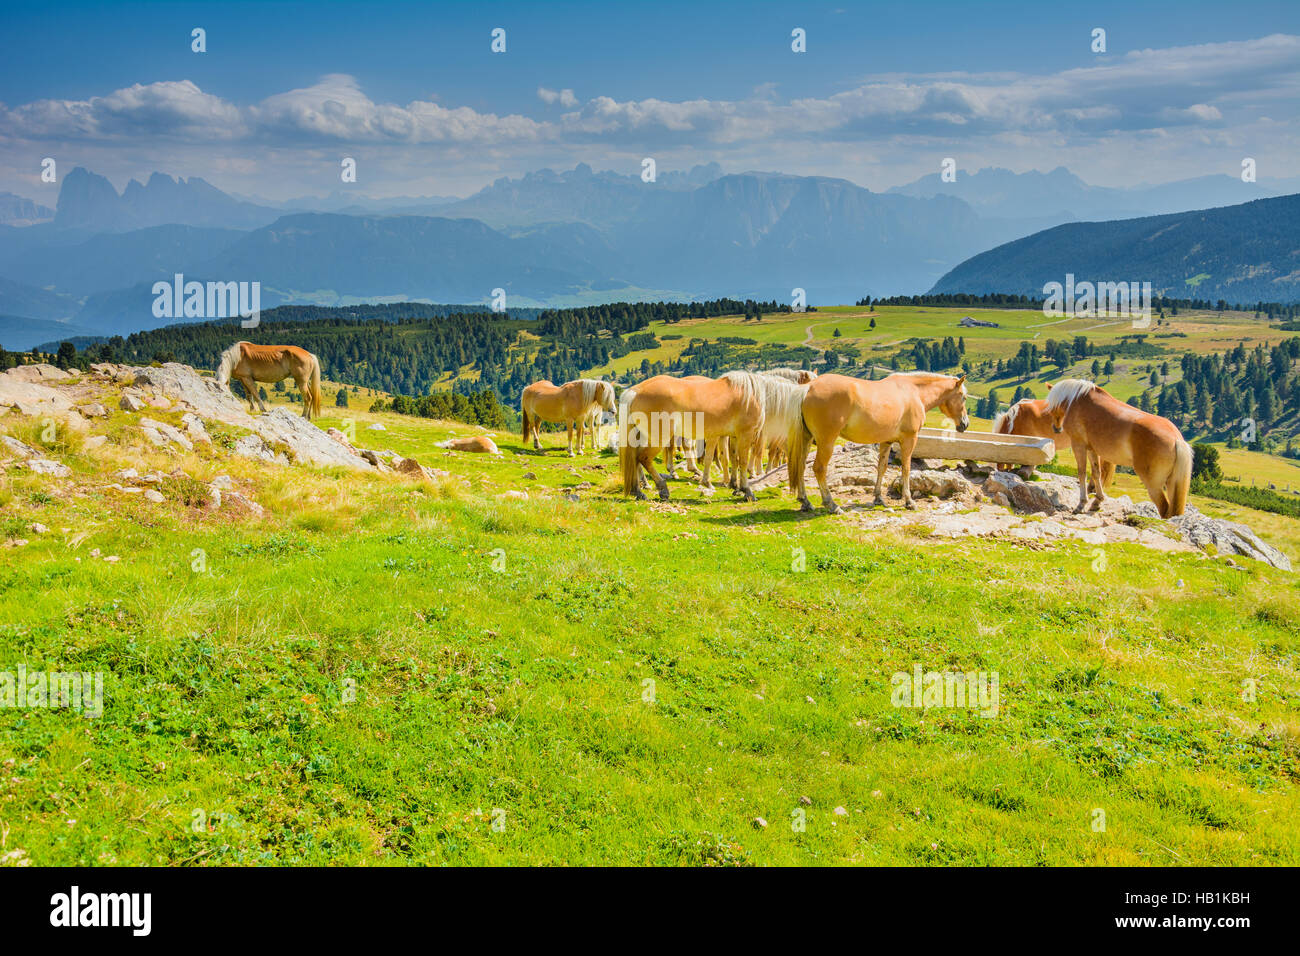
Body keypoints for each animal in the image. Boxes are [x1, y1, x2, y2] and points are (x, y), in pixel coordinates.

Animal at [780, 369, 967, 512]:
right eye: (963, 397)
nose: (965, 424)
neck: (914, 392)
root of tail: (809, 387)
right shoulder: (909, 439)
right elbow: (906, 469)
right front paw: (909, 501)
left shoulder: (886, 442)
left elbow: (881, 467)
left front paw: (878, 498)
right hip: (826, 442)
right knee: (819, 468)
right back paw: (832, 505)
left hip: (806, 439)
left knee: (800, 466)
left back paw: (805, 502)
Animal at [1045, 379, 1190, 520]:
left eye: (1051, 409)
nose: (1056, 428)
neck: (1076, 400)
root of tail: (1176, 439)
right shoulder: (1091, 449)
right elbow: (1096, 473)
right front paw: (1097, 501)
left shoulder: (1079, 445)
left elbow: (1082, 473)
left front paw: (1081, 504)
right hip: (1171, 484)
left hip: (1154, 485)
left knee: (1164, 509)